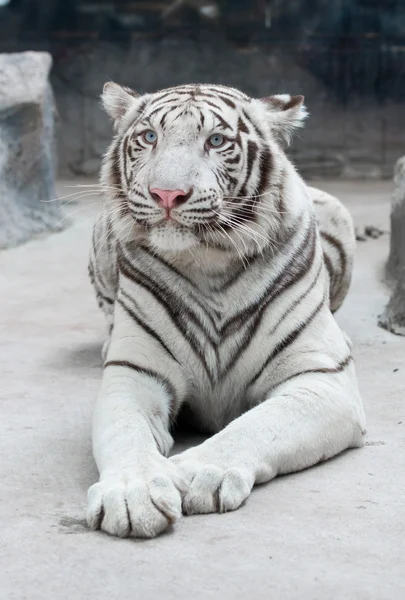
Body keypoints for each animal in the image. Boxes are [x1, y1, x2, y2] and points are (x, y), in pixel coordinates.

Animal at [87, 81, 364, 540]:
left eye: (215, 141)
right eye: (149, 137)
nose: (167, 194)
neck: (208, 264)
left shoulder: (322, 379)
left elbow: (258, 424)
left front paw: (198, 473)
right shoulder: (135, 373)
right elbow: (124, 431)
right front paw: (133, 494)